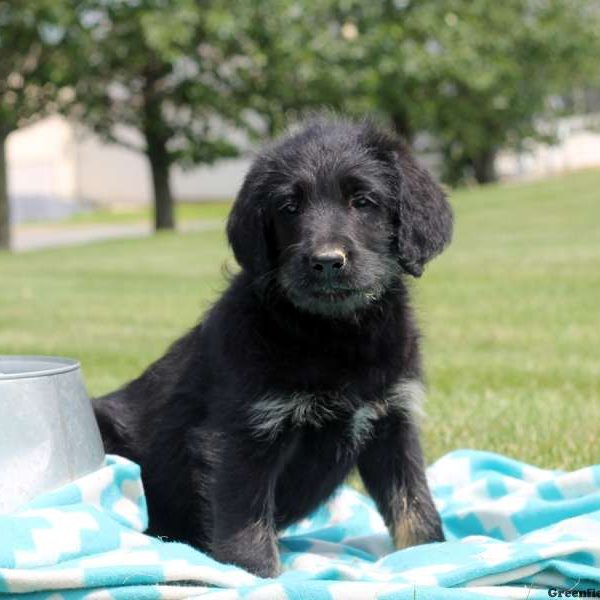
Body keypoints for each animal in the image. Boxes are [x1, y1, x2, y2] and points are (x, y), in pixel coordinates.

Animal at [94, 116, 452, 576]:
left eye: (363, 201)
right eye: (289, 207)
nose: (326, 261)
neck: (333, 334)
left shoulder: (392, 424)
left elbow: (415, 505)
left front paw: (431, 557)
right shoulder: (242, 434)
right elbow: (246, 529)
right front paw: (259, 578)